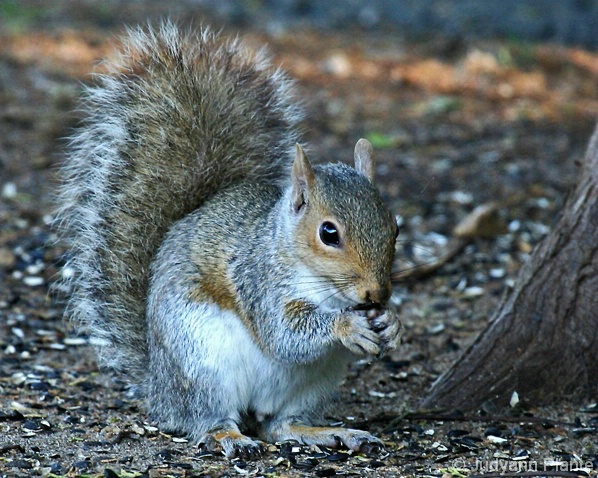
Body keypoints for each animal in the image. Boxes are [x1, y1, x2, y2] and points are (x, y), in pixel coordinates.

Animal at [57, 22, 404, 460]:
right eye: (329, 233)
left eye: (395, 227)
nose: (377, 294)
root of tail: (159, 388)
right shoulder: (258, 280)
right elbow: (284, 333)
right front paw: (346, 326)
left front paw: (392, 324)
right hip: (201, 362)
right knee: (208, 418)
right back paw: (229, 437)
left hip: (314, 381)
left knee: (279, 425)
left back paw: (322, 431)